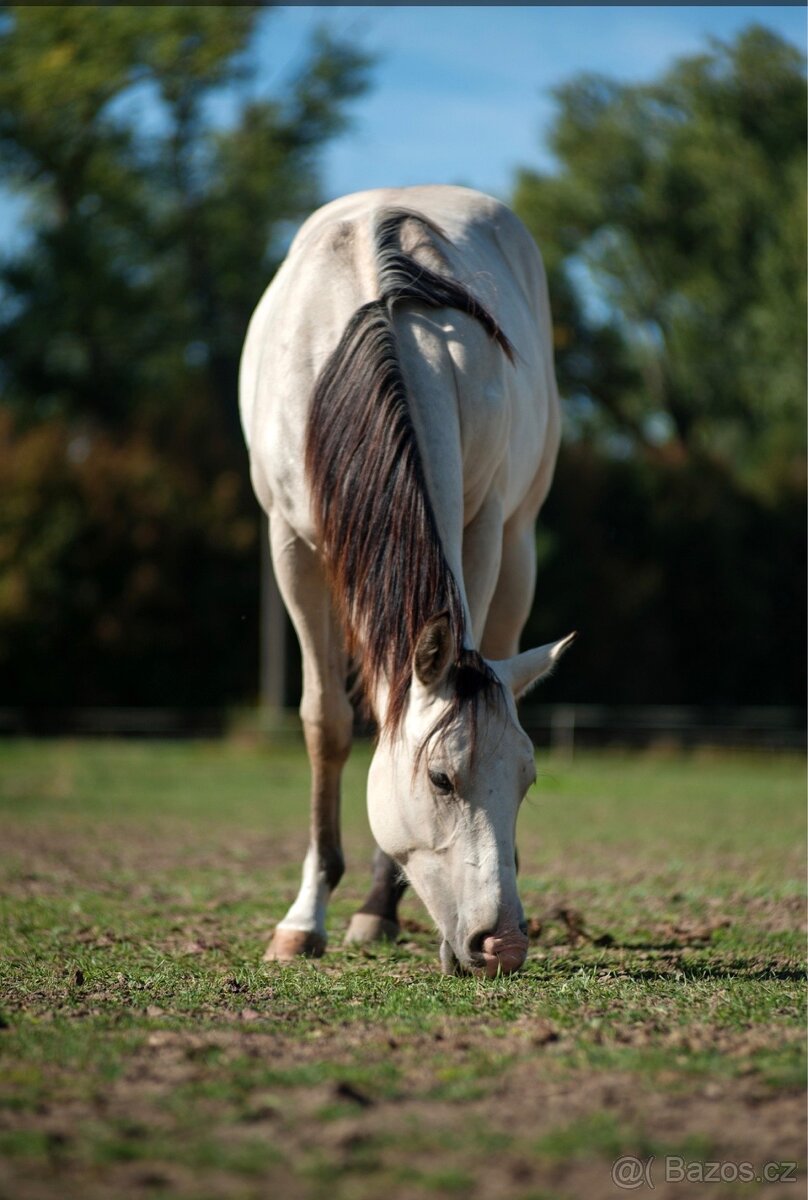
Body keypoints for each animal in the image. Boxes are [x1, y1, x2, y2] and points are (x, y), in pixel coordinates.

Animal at [239, 185, 574, 977]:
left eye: (528, 779)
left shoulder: (480, 528)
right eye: (441, 779)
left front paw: (376, 907)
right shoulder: (290, 544)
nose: (503, 944)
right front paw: (303, 920)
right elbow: (325, 721)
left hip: (519, 539)